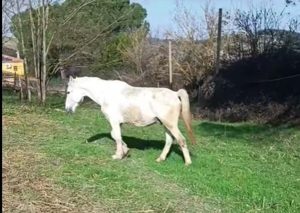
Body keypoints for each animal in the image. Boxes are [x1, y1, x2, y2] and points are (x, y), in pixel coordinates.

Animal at [65, 76, 196, 165]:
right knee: (169, 141)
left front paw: (118, 155)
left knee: (181, 140)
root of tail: (175, 93)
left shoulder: (114, 121)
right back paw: (160, 159)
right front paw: (125, 151)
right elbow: (115, 135)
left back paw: (187, 163)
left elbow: (117, 136)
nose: (67, 109)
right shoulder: (119, 123)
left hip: (170, 124)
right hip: (165, 125)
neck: (106, 93)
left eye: (68, 92)